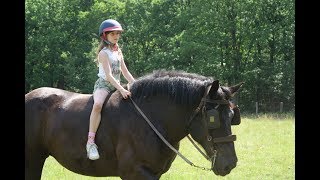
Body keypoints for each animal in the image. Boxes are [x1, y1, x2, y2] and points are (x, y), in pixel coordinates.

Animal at [25, 69, 244, 179]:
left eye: (232, 115)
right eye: (213, 117)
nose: (230, 163)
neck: (152, 120)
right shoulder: (133, 173)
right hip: (33, 161)